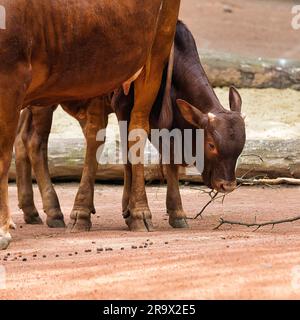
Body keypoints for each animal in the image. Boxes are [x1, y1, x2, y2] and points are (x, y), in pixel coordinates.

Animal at [0, 0, 180, 249]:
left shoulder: (11, 76)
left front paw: (2, 232)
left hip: (156, 50)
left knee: (134, 129)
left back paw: (137, 212)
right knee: (90, 133)